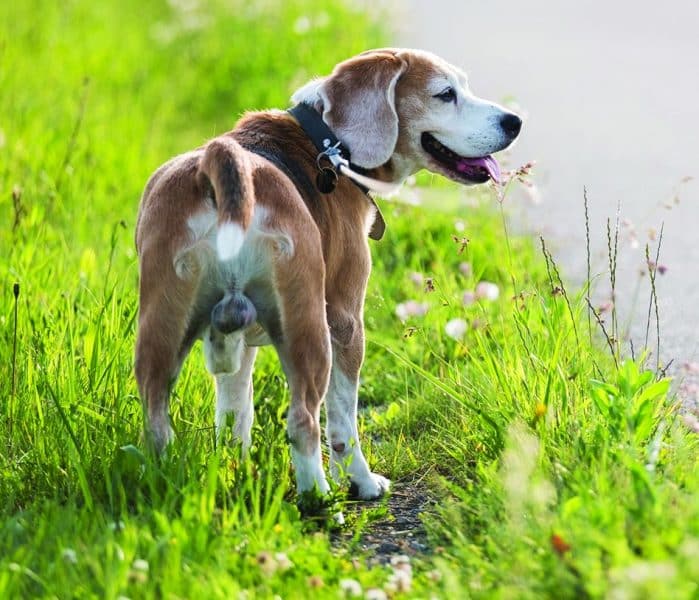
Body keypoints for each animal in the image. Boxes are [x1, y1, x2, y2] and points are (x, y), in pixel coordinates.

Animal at [134, 48, 524, 502]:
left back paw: (160, 479)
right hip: (311, 329)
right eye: (446, 94)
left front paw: (237, 469)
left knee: (156, 419)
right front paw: (361, 482)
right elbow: (343, 421)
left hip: (161, 331)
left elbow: (235, 413)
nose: (514, 122)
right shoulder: (346, 321)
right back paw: (320, 496)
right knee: (304, 420)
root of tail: (224, 165)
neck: (326, 143)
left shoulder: (240, 346)